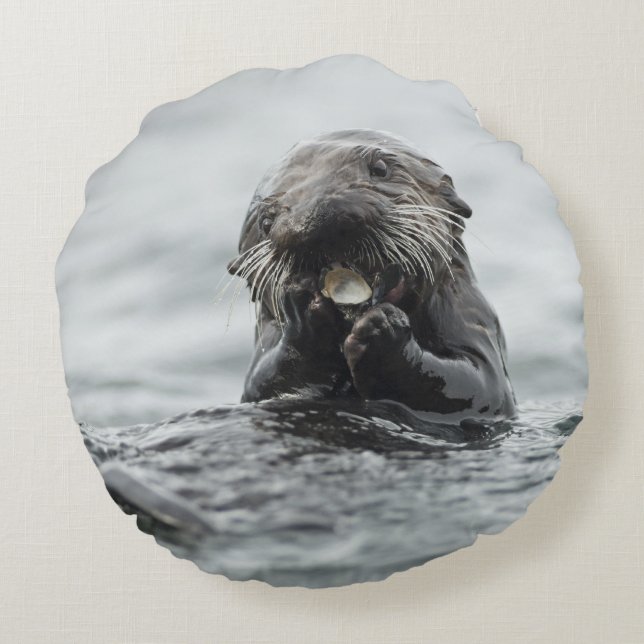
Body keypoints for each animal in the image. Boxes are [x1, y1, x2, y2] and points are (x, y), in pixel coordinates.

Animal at [227, 129, 515, 418]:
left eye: (380, 168)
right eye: (266, 221)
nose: (315, 218)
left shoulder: (472, 318)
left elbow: (478, 384)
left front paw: (383, 327)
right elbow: (264, 384)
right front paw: (305, 312)